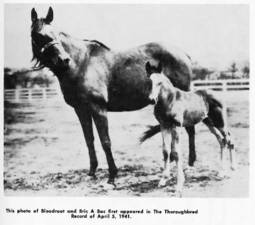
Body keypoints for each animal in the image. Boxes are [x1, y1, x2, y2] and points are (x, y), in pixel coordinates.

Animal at [142, 61, 236, 195]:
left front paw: (179, 185)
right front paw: (163, 180)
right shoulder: (164, 126)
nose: (151, 100)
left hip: (220, 122)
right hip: (209, 123)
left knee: (229, 139)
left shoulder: (176, 126)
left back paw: (231, 169)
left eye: (160, 82)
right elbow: (166, 151)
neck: (169, 100)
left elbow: (176, 153)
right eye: (149, 81)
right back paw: (221, 171)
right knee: (221, 140)